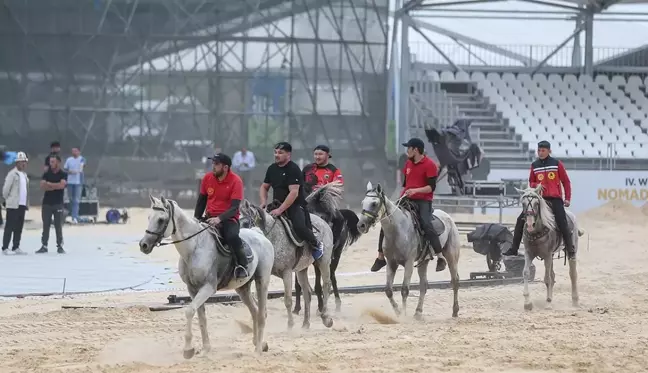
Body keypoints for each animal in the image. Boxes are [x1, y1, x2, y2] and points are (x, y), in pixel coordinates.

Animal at [139, 195, 274, 354]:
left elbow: (189, 311)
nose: (143, 245)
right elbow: (201, 317)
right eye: (149, 217)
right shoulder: (192, 289)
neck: (194, 248)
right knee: (254, 311)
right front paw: (205, 349)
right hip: (243, 288)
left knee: (261, 314)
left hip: (262, 281)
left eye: (160, 220)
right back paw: (259, 343)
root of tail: (259, 234)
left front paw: (188, 349)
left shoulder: (208, 287)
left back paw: (258, 349)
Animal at [240, 198, 336, 328]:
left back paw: (326, 318)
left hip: (324, 261)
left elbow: (288, 300)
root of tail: (324, 223)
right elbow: (257, 298)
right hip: (301, 269)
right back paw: (306, 324)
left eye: (245, 223)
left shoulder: (287, 272)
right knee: (307, 292)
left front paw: (290, 325)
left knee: (326, 284)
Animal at [292, 182, 362, 314]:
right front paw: (296, 308)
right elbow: (298, 284)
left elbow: (318, 284)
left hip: (336, 255)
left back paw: (336, 303)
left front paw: (321, 307)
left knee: (331, 276)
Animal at [356, 182, 464, 318]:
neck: (397, 230)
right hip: (424, 261)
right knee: (424, 285)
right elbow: (388, 290)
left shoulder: (409, 263)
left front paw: (403, 315)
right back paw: (418, 312)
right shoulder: (391, 263)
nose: (360, 225)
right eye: (362, 202)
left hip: (451, 256)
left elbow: (404, 290)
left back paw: (455, 310)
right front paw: (398, 311)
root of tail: (448, 216)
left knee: (455, 280)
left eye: (374, 203)